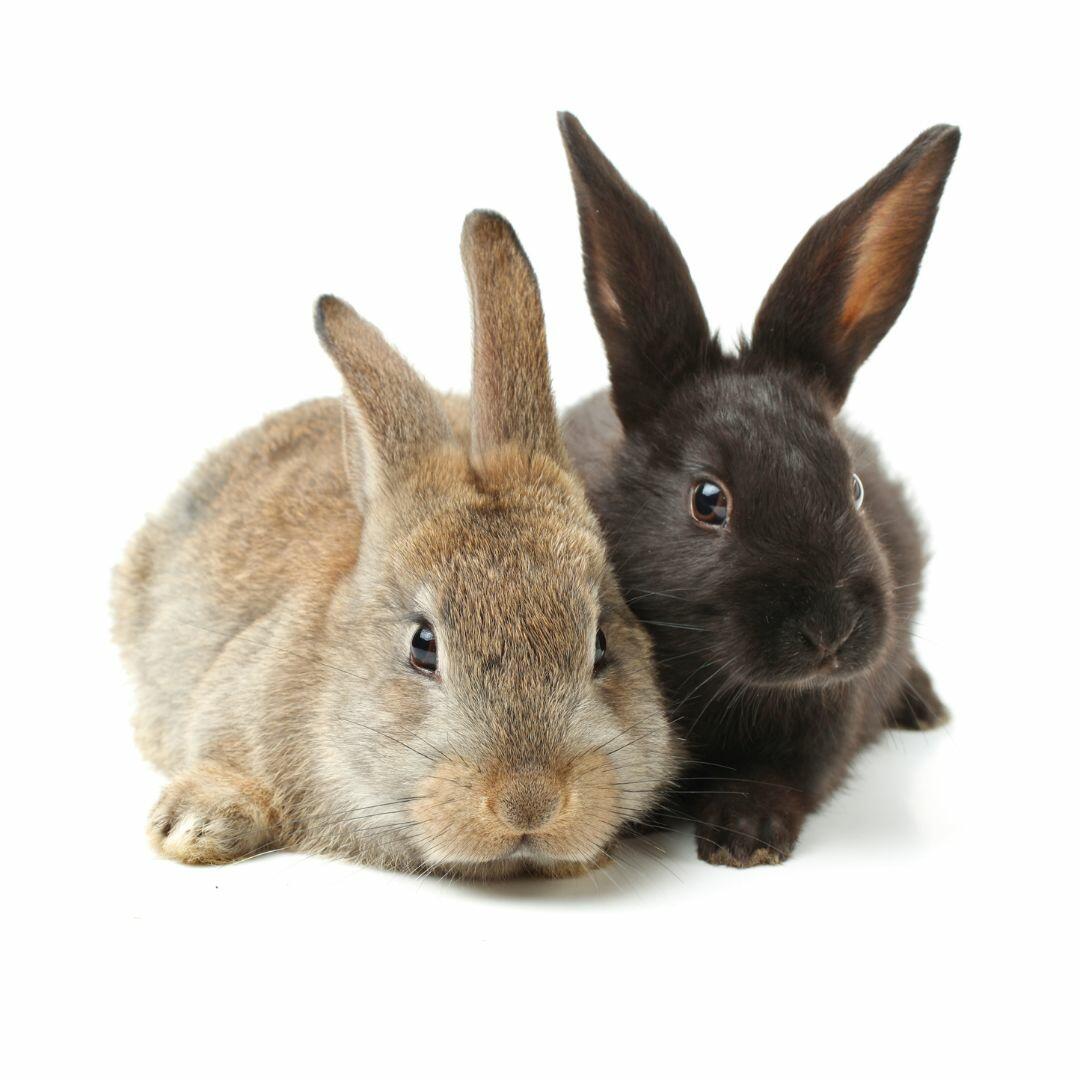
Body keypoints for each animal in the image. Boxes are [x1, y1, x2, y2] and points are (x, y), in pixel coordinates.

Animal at [557, 113, 958, 867]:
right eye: (708, 500)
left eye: (853, 488)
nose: (830, 630)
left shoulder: (825, 727)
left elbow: (783, 777)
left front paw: (744, 837)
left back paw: (925, 706)